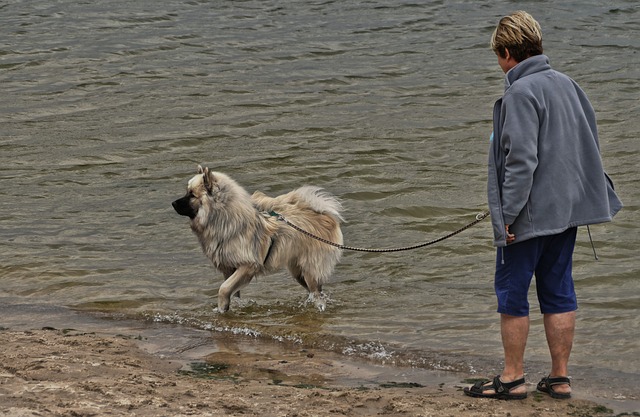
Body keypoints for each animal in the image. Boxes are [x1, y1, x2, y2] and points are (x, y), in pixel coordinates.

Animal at [169, 166, 340, 312]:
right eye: (187, 192)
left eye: (192, 195)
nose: (172, 203)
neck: (225, 217)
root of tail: (325, 215)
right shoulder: (229, 268)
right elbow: (231, 290)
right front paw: (230, 307)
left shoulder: (247, 265)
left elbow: (223, 288)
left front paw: (222, 307)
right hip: (298, 272)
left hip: (310, 270)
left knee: (317, 292)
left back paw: (319, 306)